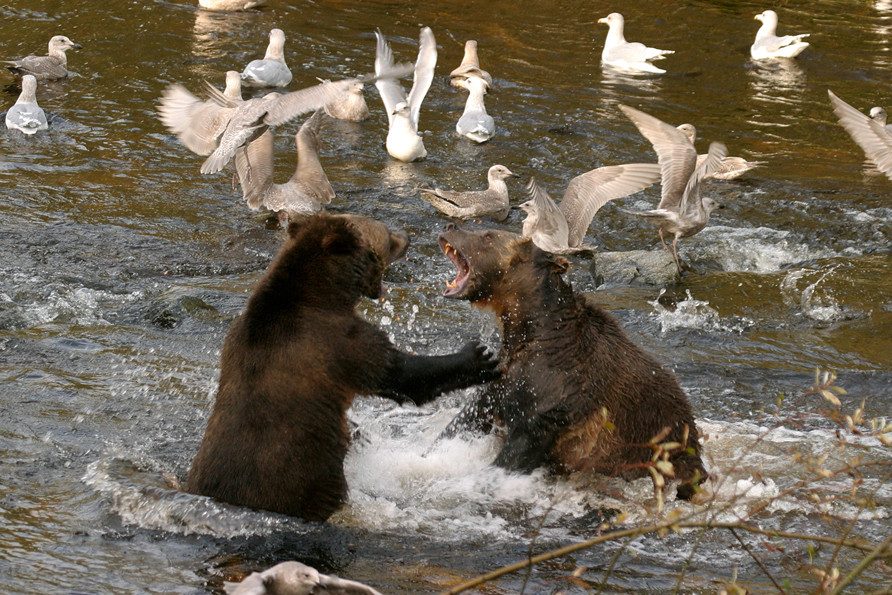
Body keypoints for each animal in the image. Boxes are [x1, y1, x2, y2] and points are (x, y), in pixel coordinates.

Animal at [187, 214, 499, 521]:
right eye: (386, 235)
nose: (406, 235)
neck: (325, 293)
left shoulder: (237, 335)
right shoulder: (338, 343)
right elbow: (400, 375)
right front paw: (479, 356)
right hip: (305, 480)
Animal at [436, 224, 707, 499]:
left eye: (488, 236)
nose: (450, 227)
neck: (533, 331)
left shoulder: (554, 397)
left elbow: (518, 449)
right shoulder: (505, 381)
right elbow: (468, 419)